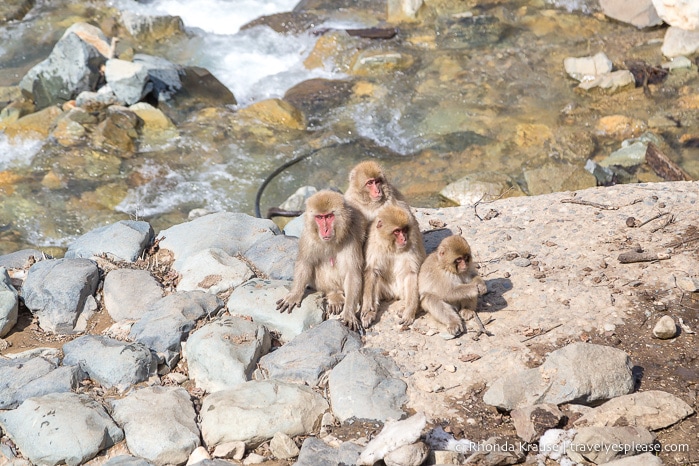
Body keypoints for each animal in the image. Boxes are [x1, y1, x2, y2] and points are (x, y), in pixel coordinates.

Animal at [276, 189, 366, 332]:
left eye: (328, 216)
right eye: (319, 217)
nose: (325, 230)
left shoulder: (351, 237)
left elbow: (352, 272)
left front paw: (349, 313)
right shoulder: (308, 236)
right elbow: (305, 263)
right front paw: (295, 294)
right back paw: (333, 294)